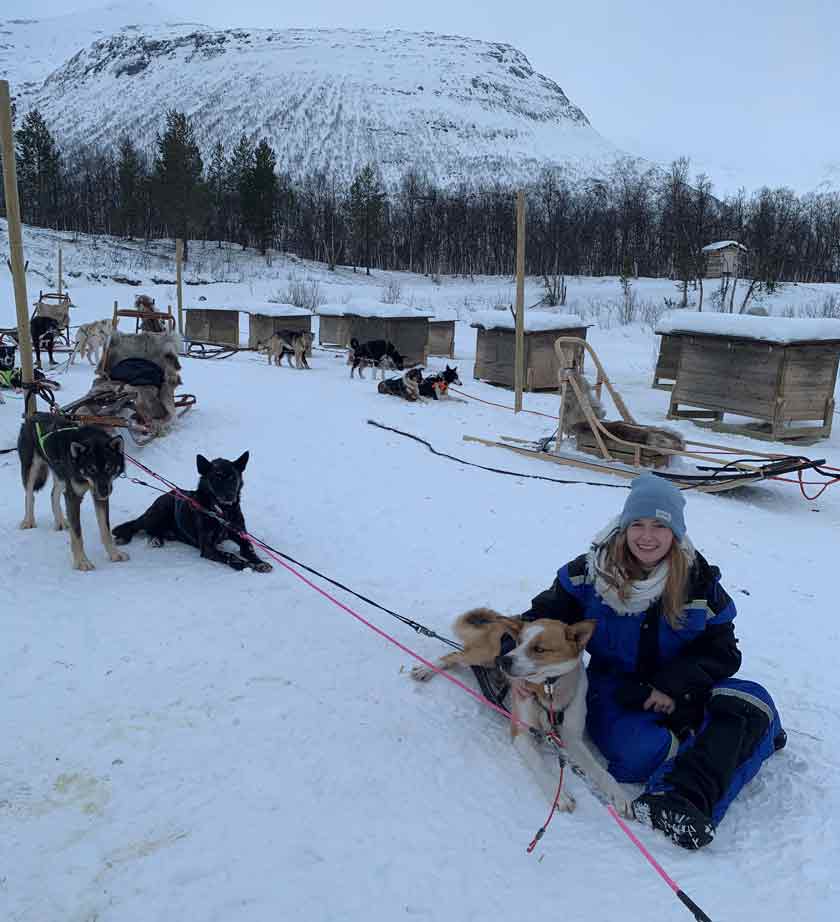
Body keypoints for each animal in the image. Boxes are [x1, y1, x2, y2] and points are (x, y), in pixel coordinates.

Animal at [112, 452, 272, 572]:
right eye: (217, 477)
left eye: (233, 477)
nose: (230, 496)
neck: (222, 513)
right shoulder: (208, 547)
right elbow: (230, 555)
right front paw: (244, 564)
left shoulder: (241, 535)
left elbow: (249, 549)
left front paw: (259, 562)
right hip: (158, 513)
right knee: (137, 525)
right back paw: (144, 538)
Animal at [410, 612, 632, 812]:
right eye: (519, 642)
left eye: (539, 649)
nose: (504, 660)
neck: (548, 692)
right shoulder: (521, 732)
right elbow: (540, 765)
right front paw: (558, 795)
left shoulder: (572, 737)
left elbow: (600, 771)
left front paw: (619, 795)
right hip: (485, 655)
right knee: (454, 655)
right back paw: (426, 669)